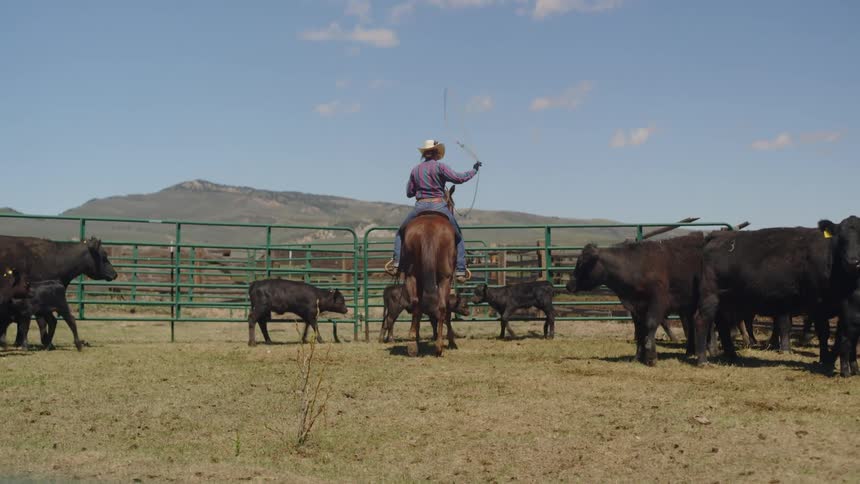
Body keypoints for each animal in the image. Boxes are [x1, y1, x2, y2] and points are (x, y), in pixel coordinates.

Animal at [399, 186, 459, 356]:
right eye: (452, 203)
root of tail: (429, 228)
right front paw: (451, 341)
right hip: (445, 278)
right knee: (442, 306)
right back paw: (439, 346)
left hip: (412, 275)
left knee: (416, 303)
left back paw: (412, 344)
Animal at [566, 233, 706, 365]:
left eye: (582, 264)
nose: (568, 285)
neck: (636, 266)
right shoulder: (636, 308)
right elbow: (639, 330)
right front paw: (638, 357)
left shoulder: (658, 302)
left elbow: (650, 324)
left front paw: (651, 357)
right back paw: (690, 352)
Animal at [693, 227, 837, 366]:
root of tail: (718, 235)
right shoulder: (811, 306)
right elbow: (813, 330)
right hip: (711, 295)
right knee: (702, 320)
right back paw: (703, 360)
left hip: (726, 302)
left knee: (723, 323)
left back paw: (732, 354)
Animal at [818, 217, 860, 377]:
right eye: (840, 238)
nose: (853, 262)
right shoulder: (846, 309)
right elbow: (844, 338)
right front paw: (845, 369)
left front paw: (852, 367)